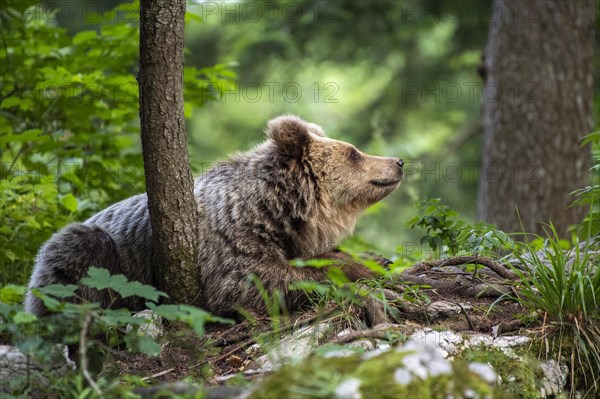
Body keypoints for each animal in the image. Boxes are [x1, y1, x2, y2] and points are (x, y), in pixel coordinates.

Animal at [25, 115, 406, 318]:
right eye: (354, 153)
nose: (398, 161)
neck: (276, 210)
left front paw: (373, 259)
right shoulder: (228, 236)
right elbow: (250, 281)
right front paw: (360, 271)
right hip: (97, 257)